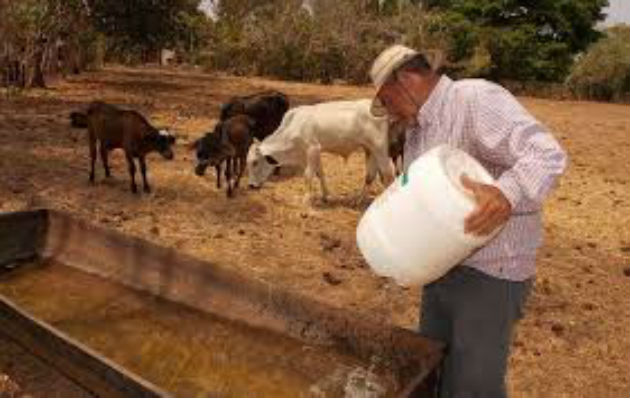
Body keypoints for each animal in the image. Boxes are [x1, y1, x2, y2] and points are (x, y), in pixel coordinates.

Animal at [248, 98, 392, 202]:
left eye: (255, 162)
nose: (251, 186)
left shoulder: (312, 149)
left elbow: (308, 175)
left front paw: (306, 199)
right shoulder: (315, 152)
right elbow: (320, 173)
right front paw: (326, 195)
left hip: (381, 149)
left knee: (388, 174)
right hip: (370, 150)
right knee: (370, 176)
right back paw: (358, 200)